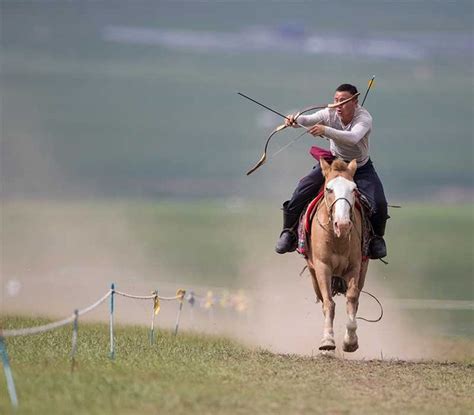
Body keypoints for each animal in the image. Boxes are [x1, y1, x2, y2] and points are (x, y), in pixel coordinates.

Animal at [304, 158, 370, 352]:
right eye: (329, 189)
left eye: (354, 189)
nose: (342, 225)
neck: (338, 239)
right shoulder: (322, 267)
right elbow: (329, 303)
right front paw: (327, 341)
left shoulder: (355, 267)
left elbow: (352, 298)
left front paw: (350, 341)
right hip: (314, 274)